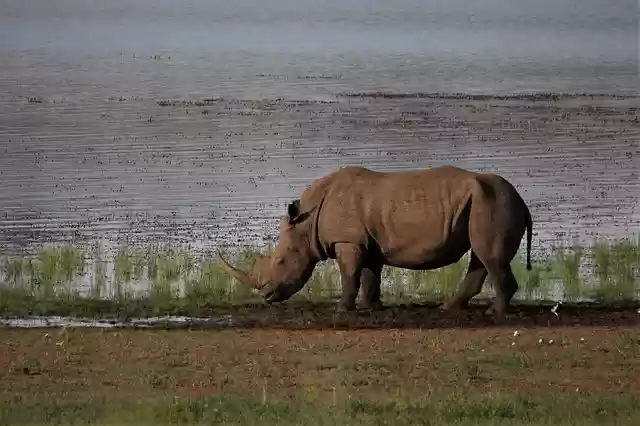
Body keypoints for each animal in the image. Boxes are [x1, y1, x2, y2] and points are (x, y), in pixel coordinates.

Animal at [217, 165, 533, 315]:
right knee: (481, 256)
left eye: (281, 261)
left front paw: (341, 308)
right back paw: (449, 307)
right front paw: (373, 308)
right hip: (487, 202)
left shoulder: (348, 242)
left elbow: (350, 275)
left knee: (489, 256)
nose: (266, 296)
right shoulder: (366, 243)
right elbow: (370, 276)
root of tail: (523, 201)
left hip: (493, 204)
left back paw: (495, 312)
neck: (307, 222)